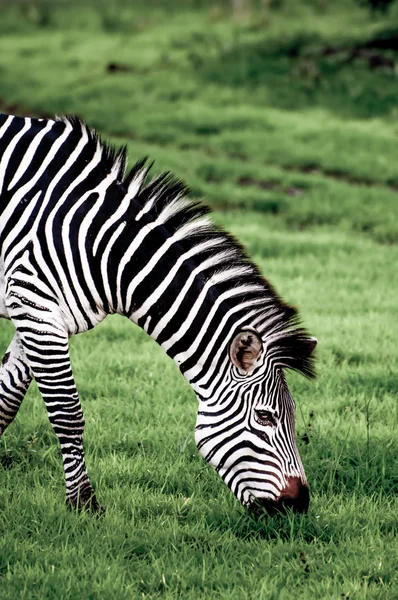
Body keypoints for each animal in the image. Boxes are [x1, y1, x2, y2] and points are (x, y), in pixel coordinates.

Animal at [0, 113, 318, 516]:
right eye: (265, 417)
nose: (299, 504)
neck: (106, 247)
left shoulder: (41, 317)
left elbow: (6, 400)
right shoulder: (34, 304)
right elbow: (67, 412)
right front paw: (83, 503)